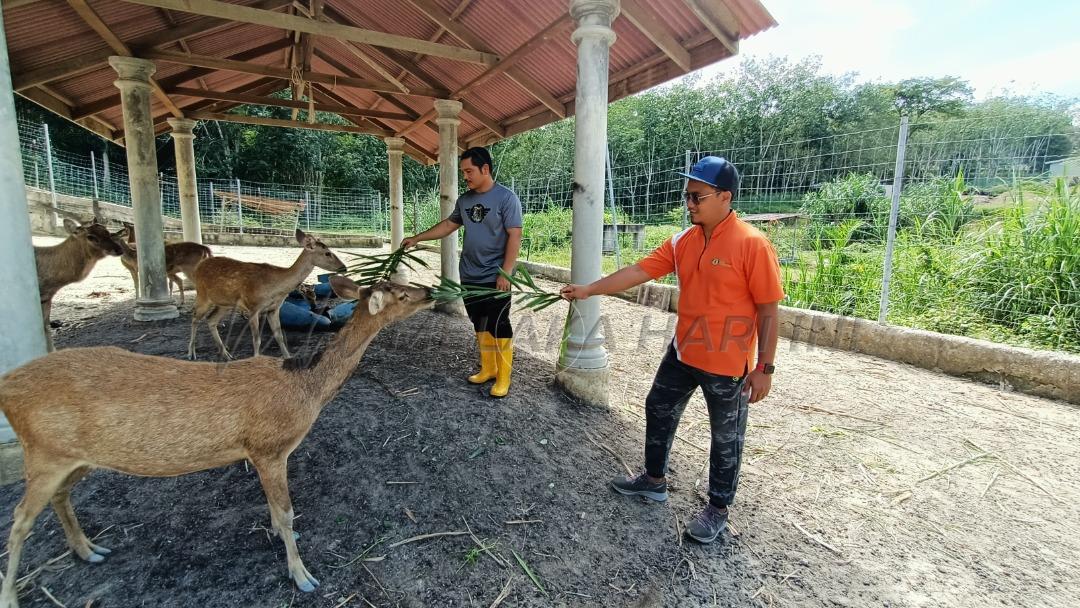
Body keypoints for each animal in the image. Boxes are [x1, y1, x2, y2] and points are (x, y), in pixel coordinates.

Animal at [0, 278, 429, 604]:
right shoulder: (268, 447)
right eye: (402, 294)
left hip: (77, 458)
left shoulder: (263, 454)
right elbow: (286, 512)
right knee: (19, 521)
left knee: (59, 497)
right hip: (44, 453)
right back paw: (12, 595)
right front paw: (302, 575)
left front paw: (282, 538)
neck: (304, 390)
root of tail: (7, 387)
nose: (428, 291)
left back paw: (90, 550)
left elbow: (275, 510)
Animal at [185, 230, 345, 360]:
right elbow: (257, 340)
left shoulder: (273, 309)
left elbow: (279, 336)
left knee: (211, 320)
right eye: (327, 253)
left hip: (225, 303)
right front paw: (256, 359)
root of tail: (198, 267)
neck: (276, 289)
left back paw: (226, 354)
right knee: (194, 317)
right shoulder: (253, 307)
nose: (343, 267)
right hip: (203, 295)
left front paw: (288, 357)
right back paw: (191, 353)